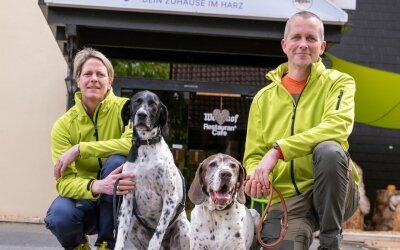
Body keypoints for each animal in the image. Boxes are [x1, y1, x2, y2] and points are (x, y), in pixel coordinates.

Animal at [115, 90, 190, 250]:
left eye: (153, 104)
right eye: (136, 101)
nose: (142, 115)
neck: (146, 145)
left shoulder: (170, 199)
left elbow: (156, 236)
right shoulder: (127, 199)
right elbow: (120, 236)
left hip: (184, 227)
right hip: (134, 227)